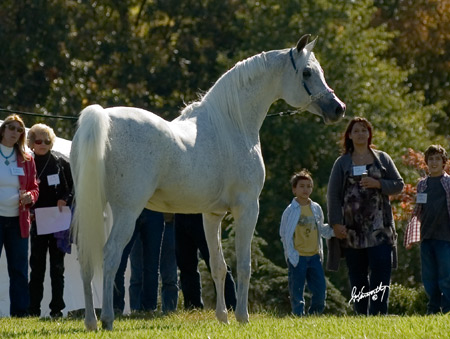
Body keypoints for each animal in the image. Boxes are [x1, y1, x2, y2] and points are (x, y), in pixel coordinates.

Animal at [70, 35, 344, 332]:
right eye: (307, 72)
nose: (338, 109)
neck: (231, 124)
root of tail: (102, 120)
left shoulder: (212, 215)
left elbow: (218, 265)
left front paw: (222, 316)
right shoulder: (248, 208)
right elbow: (244, 265)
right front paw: (242, 317)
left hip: (95, 207)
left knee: (87, 259)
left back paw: (90, 321)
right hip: (126, 211)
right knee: (109, 256)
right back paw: (107, 319)